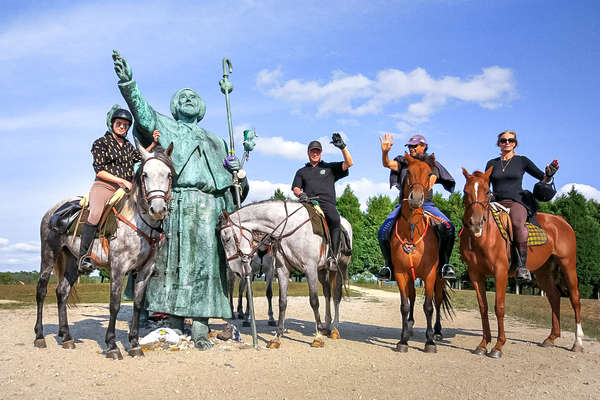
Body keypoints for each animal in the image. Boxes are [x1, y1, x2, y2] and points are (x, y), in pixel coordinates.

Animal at [34, 143, 173, 360]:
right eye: (145, 175)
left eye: (168, 174)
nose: (157, 209)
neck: (139, 222)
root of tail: (53, 211)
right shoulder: (118, 268)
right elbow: (114, 305)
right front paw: (112, 345)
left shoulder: (145, 270)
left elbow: (138, 304)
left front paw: (135, 344)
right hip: (48, 256)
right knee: (41, 291)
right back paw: (40, 336)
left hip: (72, 260)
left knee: (62, 292)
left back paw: (67, 337)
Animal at [219, 199, 352, 346]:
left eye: (227, 239)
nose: (234, 269)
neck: (289, 228)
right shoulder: (282, 270)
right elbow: (282, 302)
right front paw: (277, 336)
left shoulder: (310, 268)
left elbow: (314, 301)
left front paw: (317, 337)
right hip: (323, 271)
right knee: (328, 294)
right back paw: (326, 327)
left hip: (340, 267)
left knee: (336, 296)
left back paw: (334, 328)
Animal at [390, 154, 450, 354]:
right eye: (408, 172)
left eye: (429, 174)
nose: (416, 198)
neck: (411, 230)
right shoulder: (401, 274)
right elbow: (405, 305)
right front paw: (402, 340)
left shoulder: (430, 275)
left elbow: (429, 307)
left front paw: (429, 341)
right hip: (411, 277)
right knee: (413, 298)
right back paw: (409, 327)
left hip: (439, 278)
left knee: (437, 302)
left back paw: (437, 332)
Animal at [462, 167, 584, 358]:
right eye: (465, 192)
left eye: (487, 192)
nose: (475, 223)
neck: (484, 237)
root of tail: (561, 220)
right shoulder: (475, 273)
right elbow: (483, 307)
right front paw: (483, 344)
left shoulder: (500, 271)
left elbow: (499, 307)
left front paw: (498, 346)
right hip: (542, 272)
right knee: (554, 296)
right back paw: (551, 338)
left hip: (568, 265)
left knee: (575, 299)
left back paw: (577, 342)